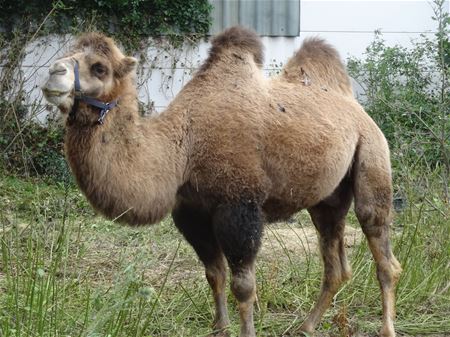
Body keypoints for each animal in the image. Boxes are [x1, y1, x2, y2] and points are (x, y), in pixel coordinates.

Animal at [41, 26, 400, 336]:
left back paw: (386, 328)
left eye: (100, 68)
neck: (183, 148)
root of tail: (356, 107)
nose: (53, 72)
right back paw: (306, 326)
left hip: (372, 155)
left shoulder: (238, 204)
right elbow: (214, 274)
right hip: (328, 198)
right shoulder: (190, 211)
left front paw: (245, 331)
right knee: (335, 262)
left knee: (381, 248)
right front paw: (220, 328)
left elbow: (243, 285)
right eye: (67, 54)